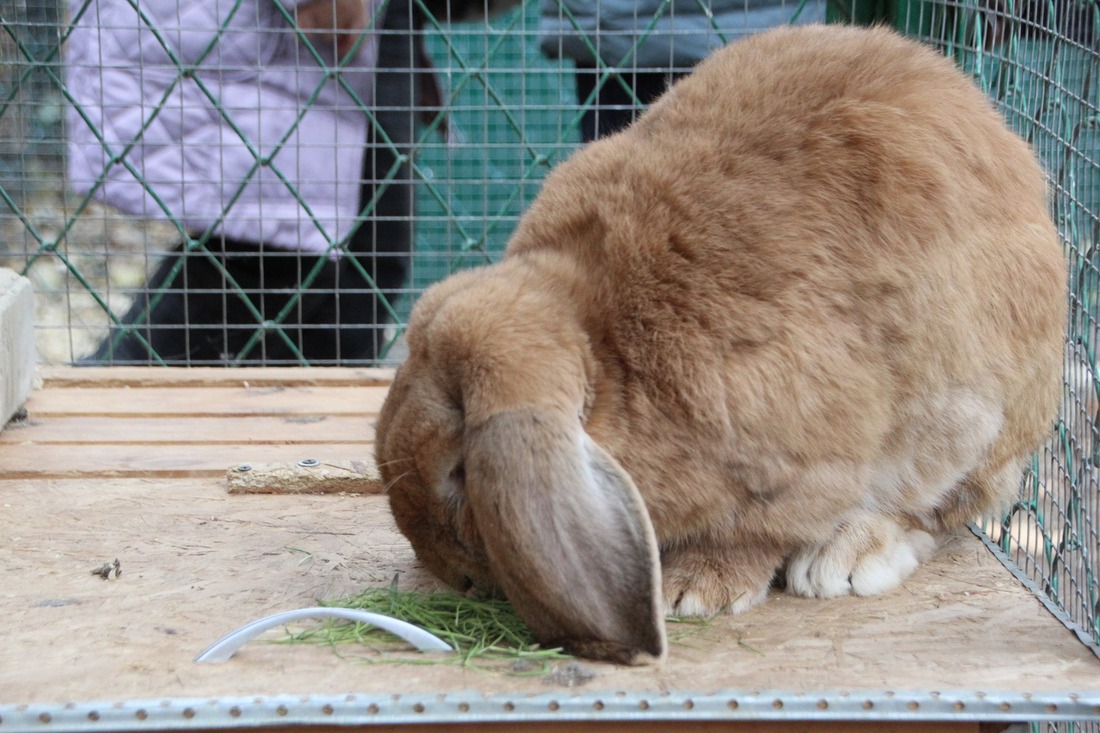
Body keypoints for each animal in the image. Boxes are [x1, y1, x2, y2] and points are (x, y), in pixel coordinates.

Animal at [371, 22, 1064, 660]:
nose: (451, 576)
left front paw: (695, 589)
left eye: (457, 472)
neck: (606, 342)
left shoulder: (803, 458)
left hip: (969, 418)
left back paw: (843, 558)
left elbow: (754, 531)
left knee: (938, 510)